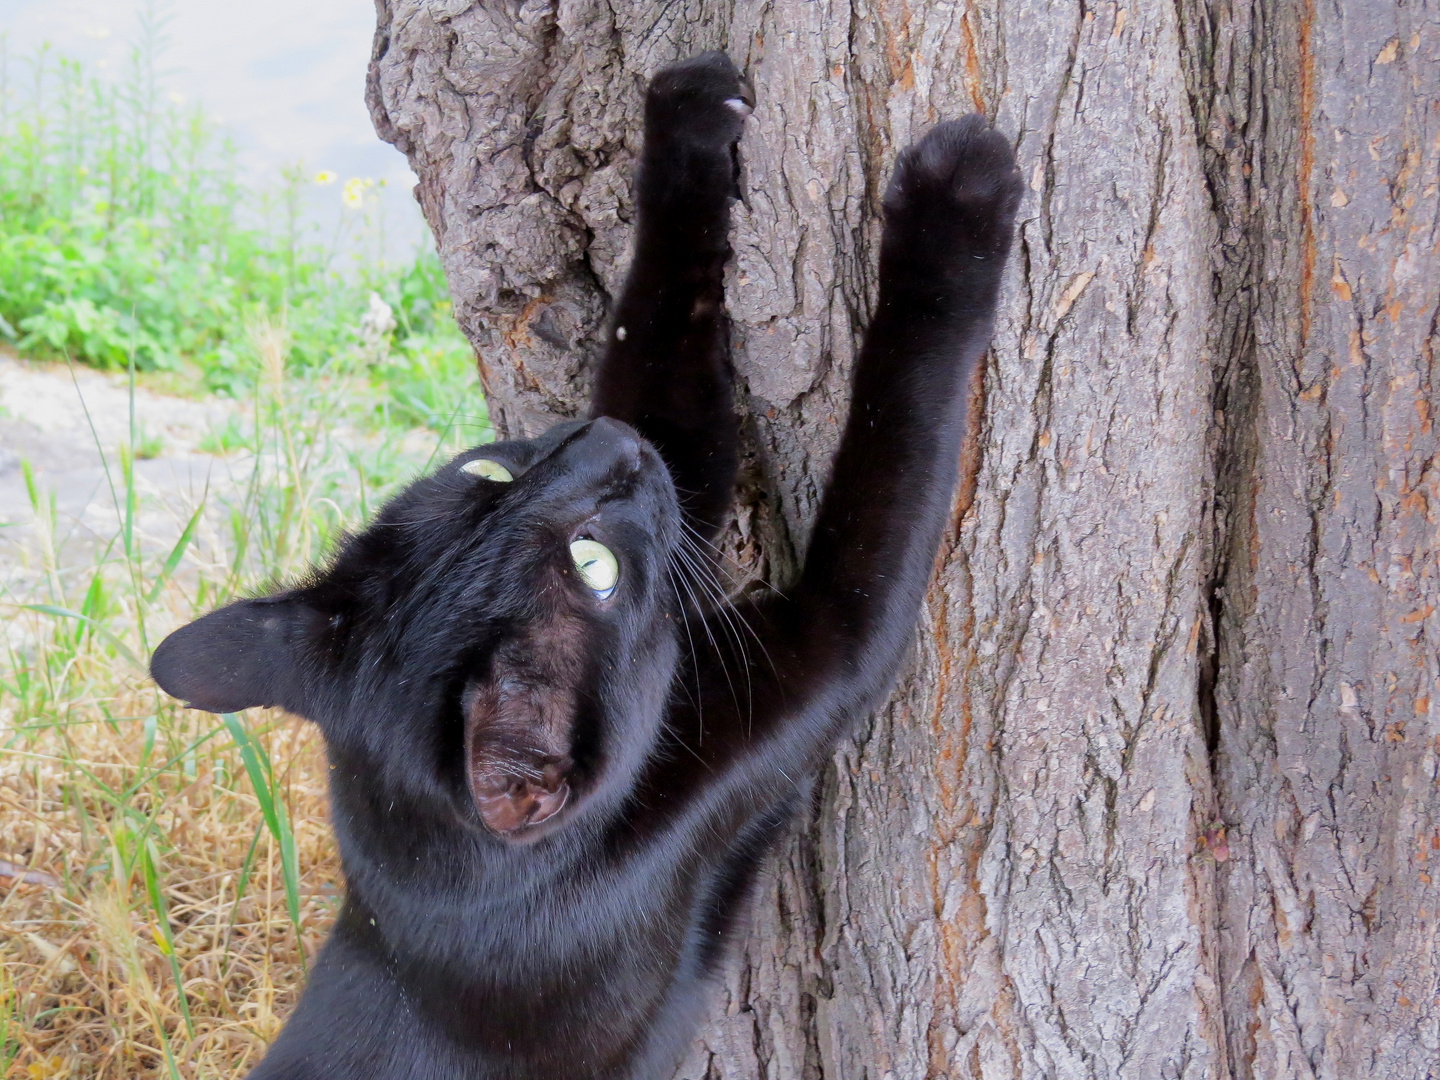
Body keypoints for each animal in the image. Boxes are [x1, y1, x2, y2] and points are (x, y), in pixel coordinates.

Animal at [151, 48, 1019, 1080]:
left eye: (487, 472)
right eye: (592, 567)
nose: (605, 444)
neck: (447, 875)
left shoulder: (675, 459)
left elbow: (657, 324)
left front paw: (686, 111)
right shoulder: (803, 668)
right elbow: (897, 436)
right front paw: (954, 201)